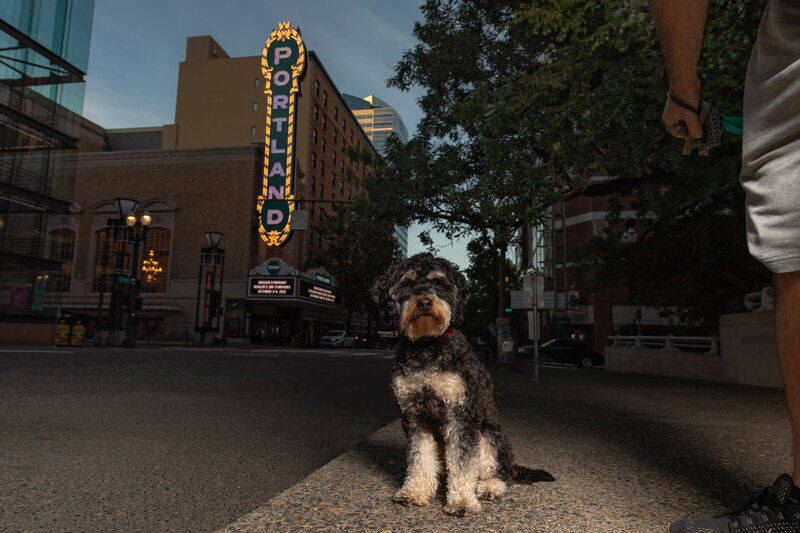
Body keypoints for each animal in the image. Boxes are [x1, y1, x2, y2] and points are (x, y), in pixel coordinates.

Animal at [374, 254, 552, 516]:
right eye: (407, 284)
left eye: (437, 282)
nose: (425, 302)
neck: (427, 347)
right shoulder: (415, 416)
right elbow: (420, 459)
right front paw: (415, 491)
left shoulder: (461, 414)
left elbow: (463, 464)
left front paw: (462, 501)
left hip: (490, 438)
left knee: (501, 473)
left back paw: (489, 486)